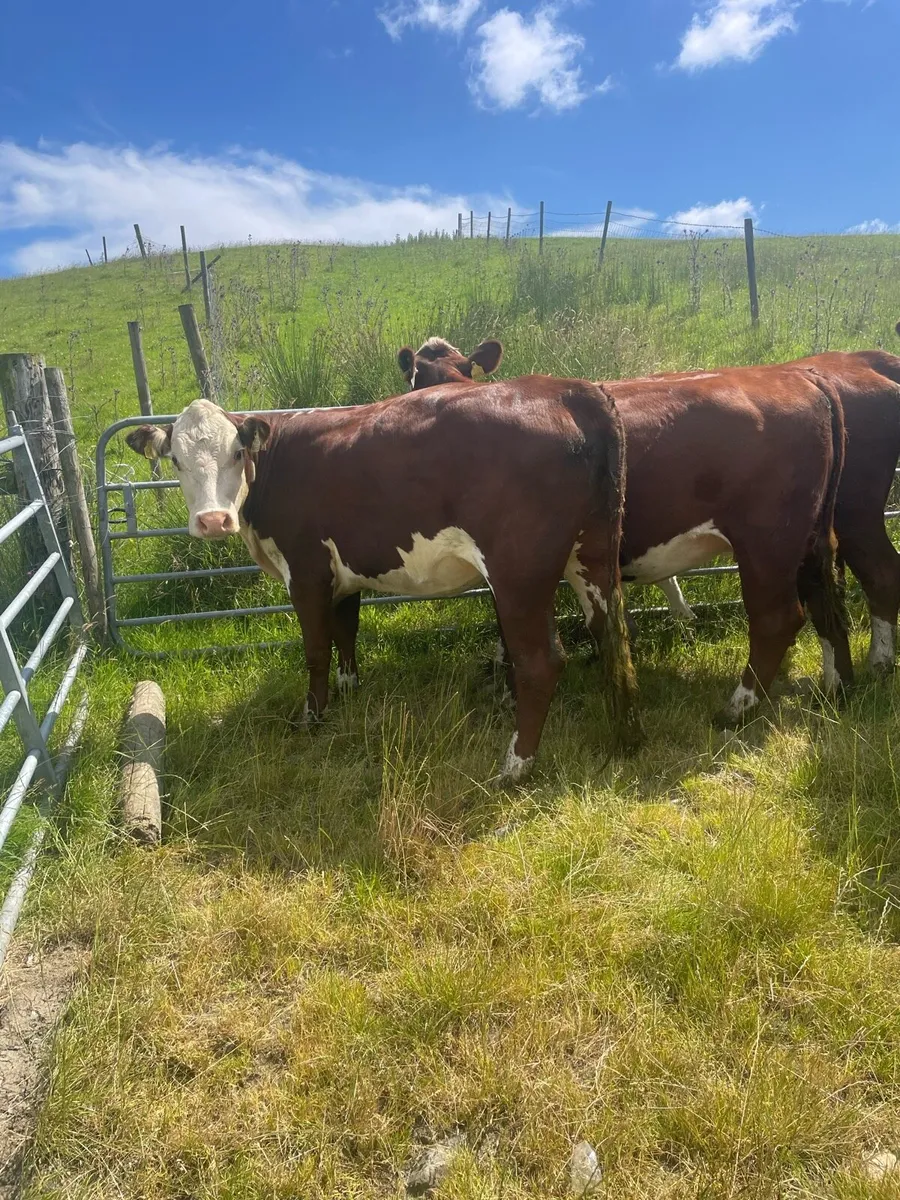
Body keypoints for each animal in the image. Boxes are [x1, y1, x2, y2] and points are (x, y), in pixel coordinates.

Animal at [125, 375, 641, 783]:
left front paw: (312, 718)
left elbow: (315, 649)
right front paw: (348, 689)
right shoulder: (342, 573)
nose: (213, 521)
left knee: (542, 662)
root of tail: (566, 388)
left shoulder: (306, 571)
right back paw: (624, 734)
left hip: (519, 575)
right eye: (175, 460)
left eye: (236, 452)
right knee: (613, 637)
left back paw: (514, 767)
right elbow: (345, 632)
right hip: (594, 556)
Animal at [401, 338, 853, 724]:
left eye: (464, 369)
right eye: (416, 378)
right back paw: (835, 689)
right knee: (825, 600)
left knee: (778, 618)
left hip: (767, 541)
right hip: (813, 537)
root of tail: (799, 377)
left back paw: (735, 708)